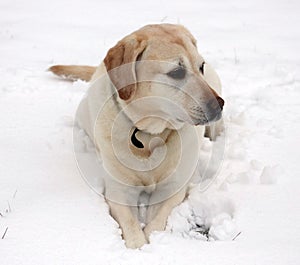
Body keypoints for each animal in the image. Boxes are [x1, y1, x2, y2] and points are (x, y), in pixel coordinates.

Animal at [48, 23, 223, 248]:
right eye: (176, 72)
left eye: (200, 67)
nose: (219, 105)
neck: (147, 136)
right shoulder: (119, 193)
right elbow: (131, 227)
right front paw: (139, 244)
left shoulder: (172, 189)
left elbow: (156, 223)